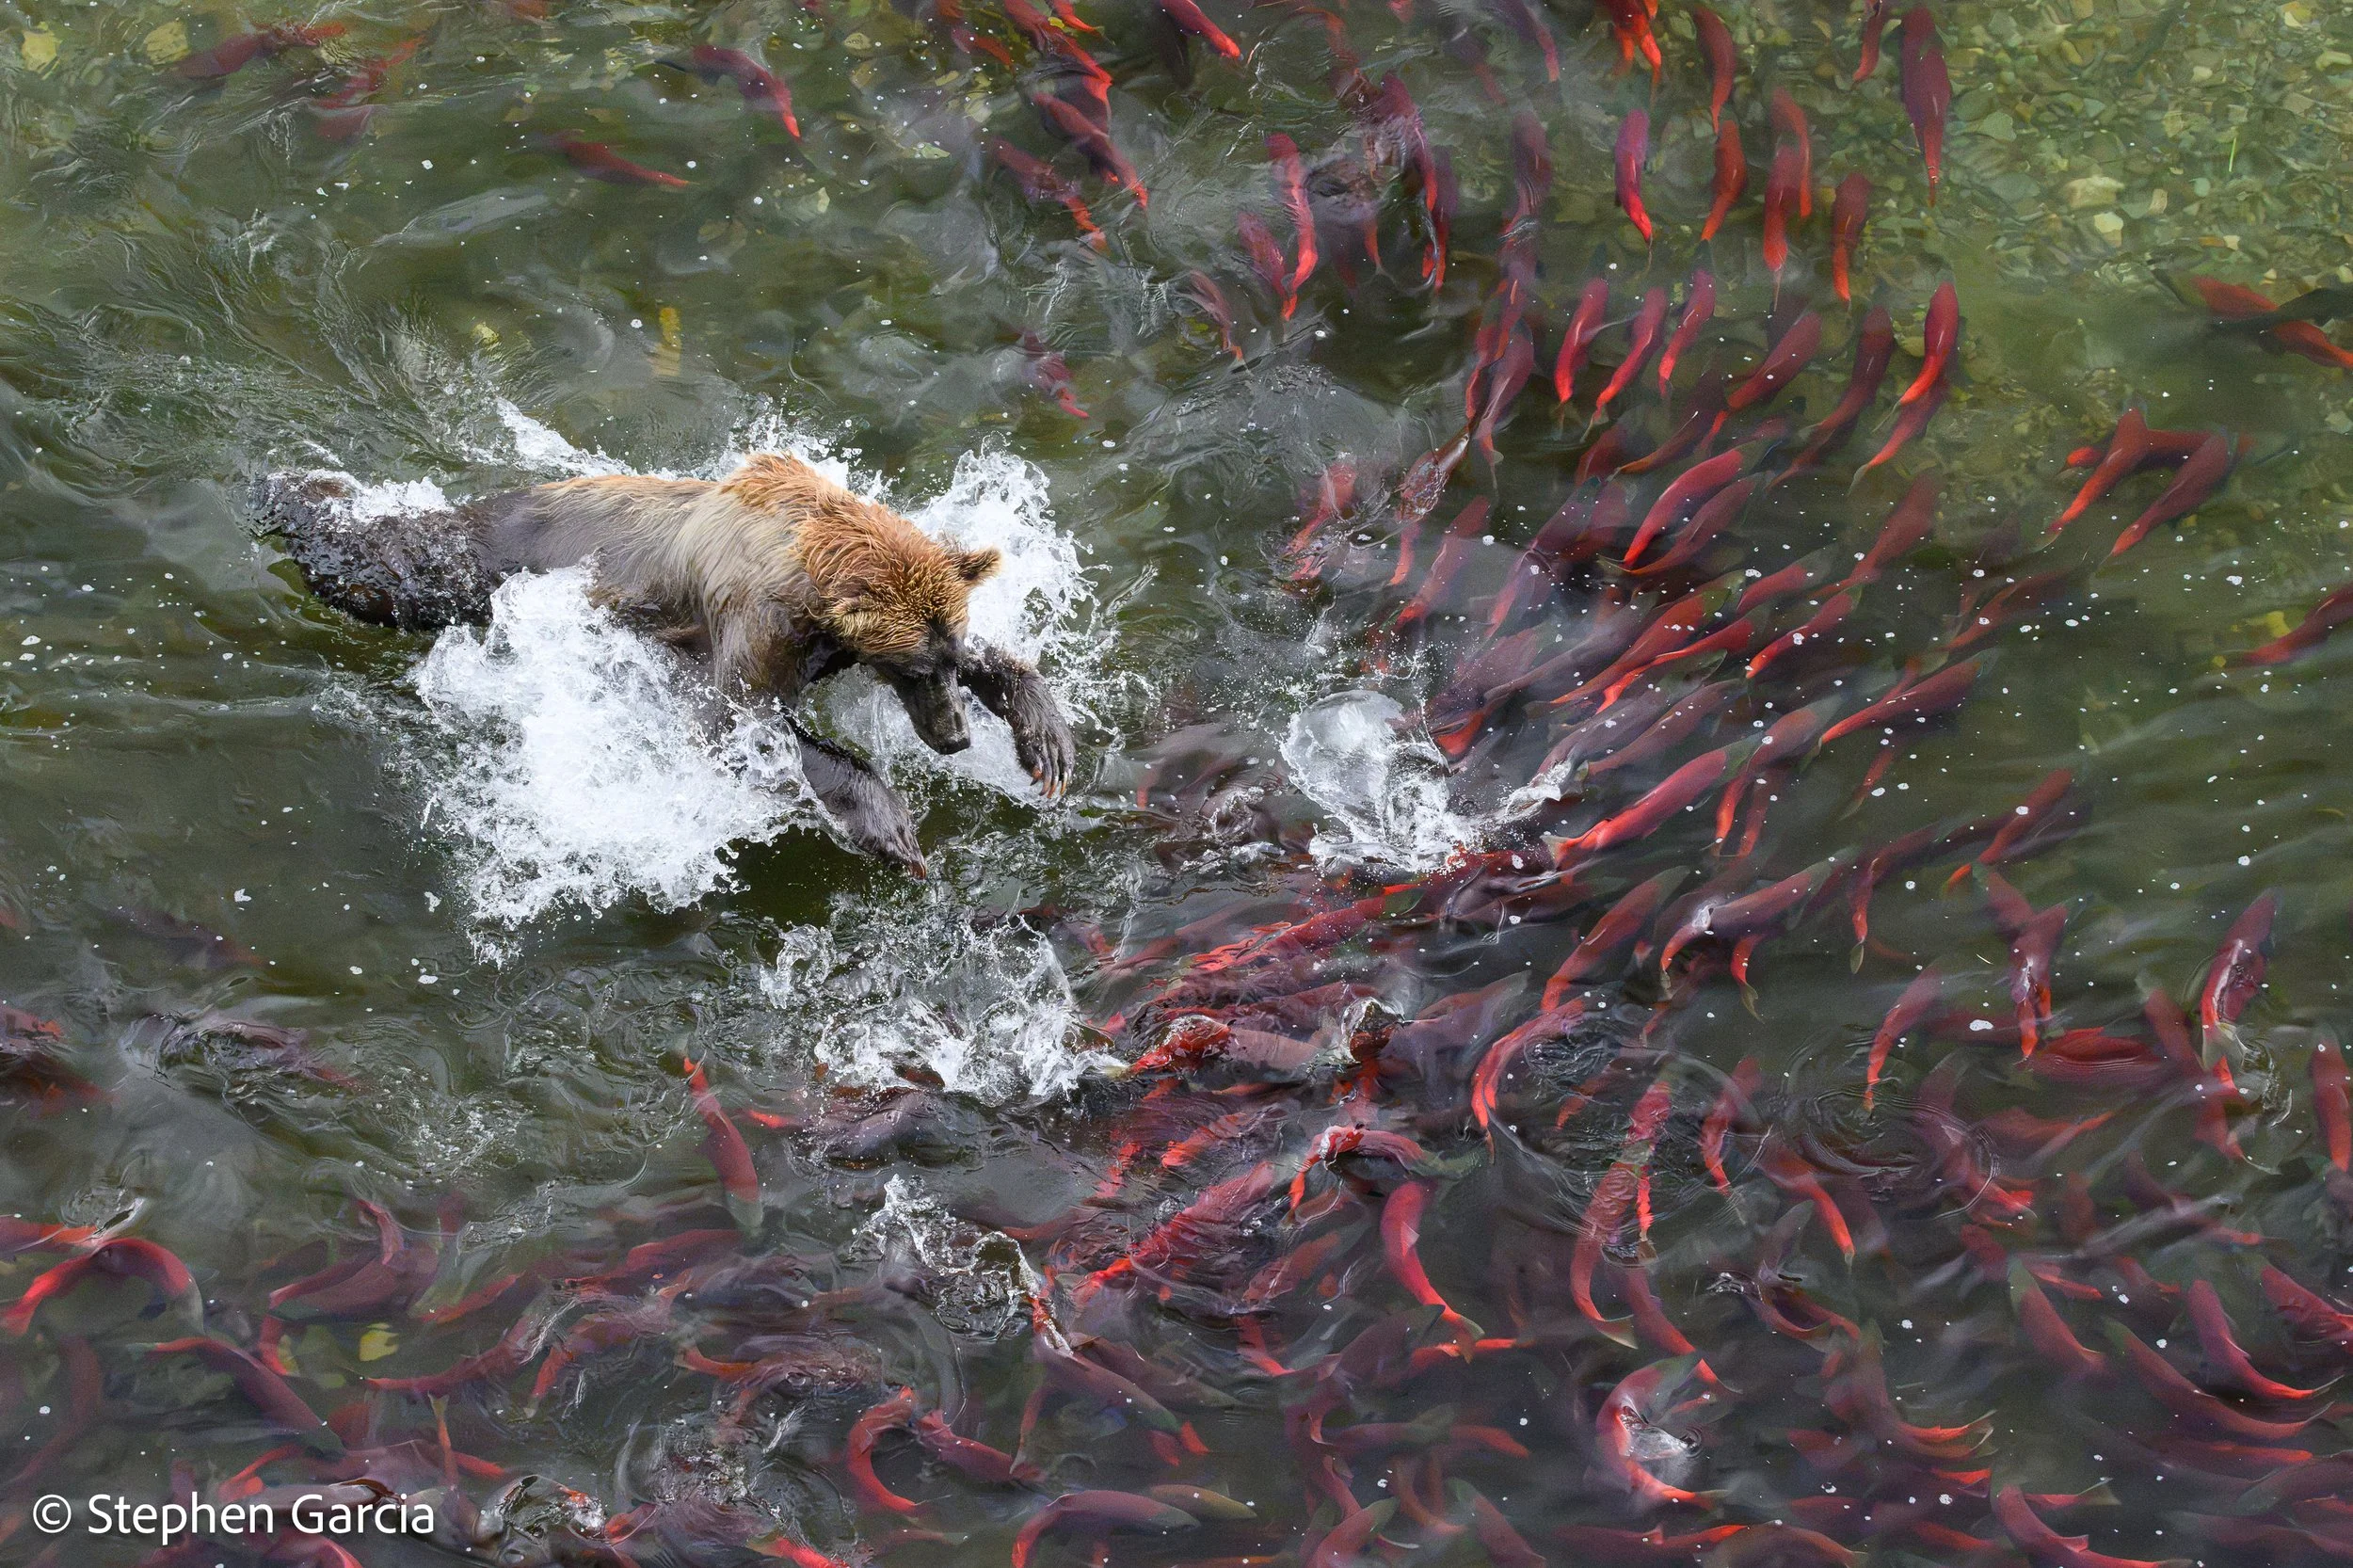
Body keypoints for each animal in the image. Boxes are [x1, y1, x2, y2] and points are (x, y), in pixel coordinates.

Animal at [254, 452, 1076, 875]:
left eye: (944, 659)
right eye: (911, 667)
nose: (954, 737)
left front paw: (1047, 741)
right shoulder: (754, 625)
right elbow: (738, 725)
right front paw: (892, 826)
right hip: (497, 557)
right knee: (392, 570)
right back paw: (291, 490)